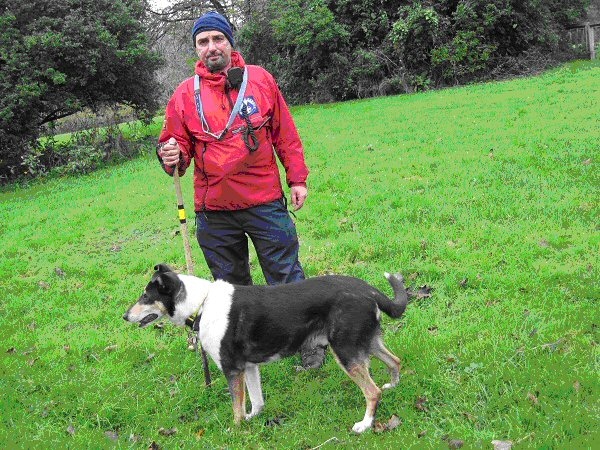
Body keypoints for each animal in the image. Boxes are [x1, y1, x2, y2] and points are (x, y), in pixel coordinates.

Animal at [124, 264, 410, 432]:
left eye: (145, 297)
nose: (125, 317)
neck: (202, 303)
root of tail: (369, 290)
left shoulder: (232, 369)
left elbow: (236, 407)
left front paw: (237, 430)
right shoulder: (248, 368)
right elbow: (256, 401)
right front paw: (254, 420)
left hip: (346, 351)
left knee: (372, 391)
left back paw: (364, 424)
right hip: (367, 343)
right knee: (395, 361)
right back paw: (394, 386)